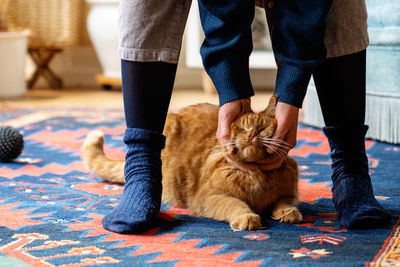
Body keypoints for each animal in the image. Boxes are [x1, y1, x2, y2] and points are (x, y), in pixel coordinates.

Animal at [80, 96, 300, 232]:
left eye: (262, 128)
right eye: (242, 128)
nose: (252, 134)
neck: (255, 173)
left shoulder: (289, 192)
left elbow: (285, 202)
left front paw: (288, 213)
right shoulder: (209, 197)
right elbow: (235, 204)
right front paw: (247, 217)